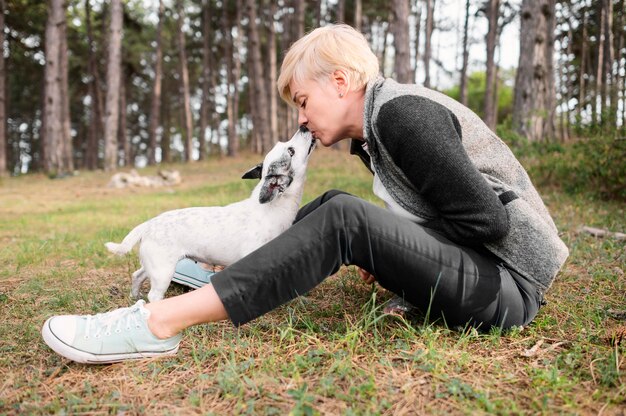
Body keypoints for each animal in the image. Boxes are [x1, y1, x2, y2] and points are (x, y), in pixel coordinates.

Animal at [105, 127, 316, 302]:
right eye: (291, 151)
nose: (304, 126)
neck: (271, 208)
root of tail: (149, 224)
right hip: (163, 272)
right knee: (154, 294)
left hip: (153, 266)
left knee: (137, 275)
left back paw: (135, 296)